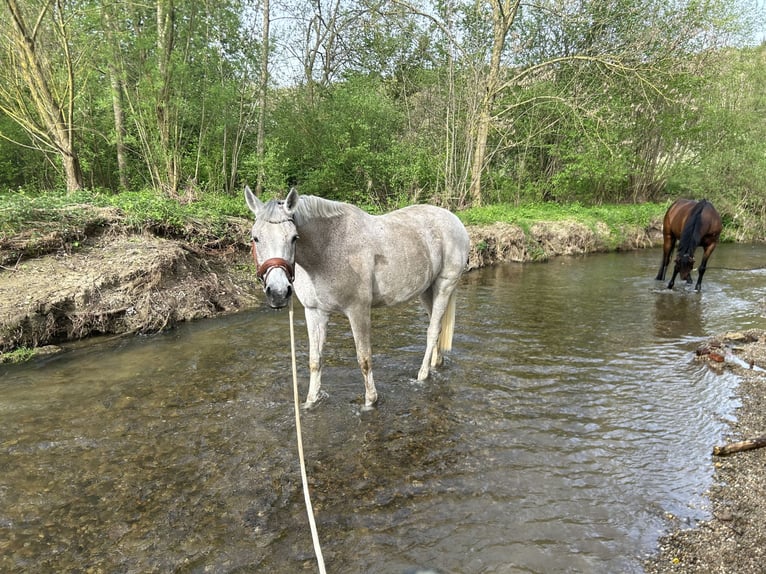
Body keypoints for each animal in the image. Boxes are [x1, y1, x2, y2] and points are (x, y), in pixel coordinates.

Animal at [249, 186, 472, 410]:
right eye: (255, 238)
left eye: (294, 237)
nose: (278, 292)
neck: (328, 248)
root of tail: (455, 220)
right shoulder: (314, 312)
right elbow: (315, 360)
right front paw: (310, 401)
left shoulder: (358, 310)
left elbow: (364, 359)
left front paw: (370, 401)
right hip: (426, 292)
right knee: (438, 327)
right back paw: (436, 364)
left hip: (444, 286)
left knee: (433, 331)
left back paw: (422, 375)